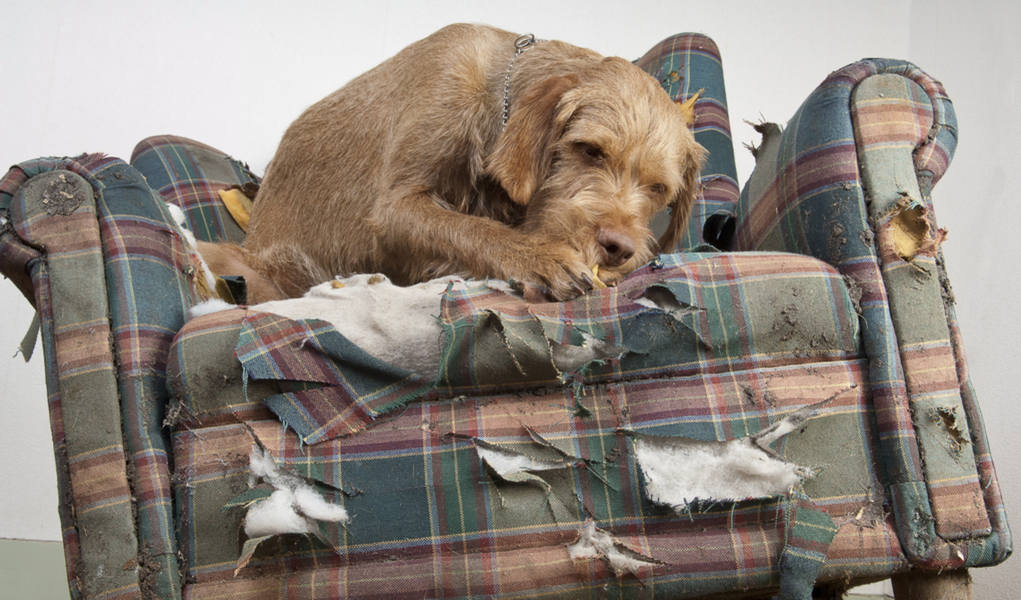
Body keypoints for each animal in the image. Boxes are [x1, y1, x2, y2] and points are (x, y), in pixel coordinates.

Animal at [203, 24, 706, 304]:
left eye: (659, 189)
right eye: (589, 150)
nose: (618, 247)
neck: (498, 98)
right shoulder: (394, 208)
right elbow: (470, 228)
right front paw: (540, 258)